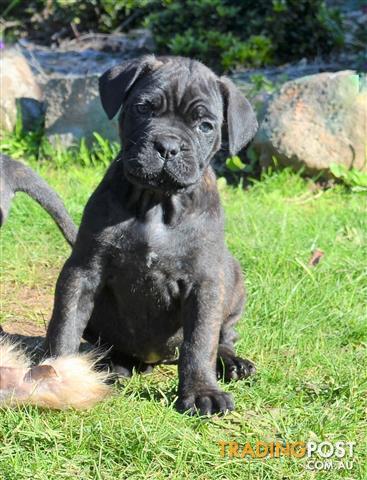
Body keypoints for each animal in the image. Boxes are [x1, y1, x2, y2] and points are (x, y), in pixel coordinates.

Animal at [46, 56, 258, 414]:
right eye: (144, 108)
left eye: (205, 126)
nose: (167, 146)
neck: (156, 203)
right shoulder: (83, 270)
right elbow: (65, 324)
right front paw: (56, 374)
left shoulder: (204, 283)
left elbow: (200, 342)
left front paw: (201, 391)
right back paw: (111, 365)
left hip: (232, 280)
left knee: (223, 336)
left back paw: (232, 363)